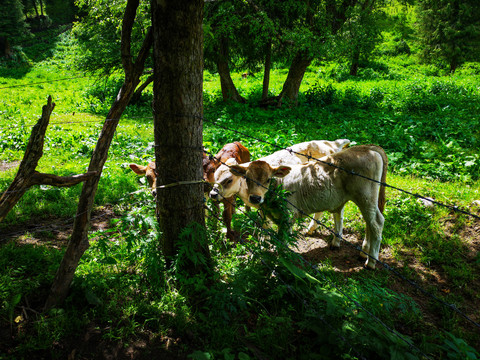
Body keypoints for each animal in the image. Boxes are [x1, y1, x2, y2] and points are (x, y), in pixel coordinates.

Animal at [227, 145, 388, 268]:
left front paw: (280, 260)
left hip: (366, 197)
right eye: (246, 178)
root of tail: (366, 148)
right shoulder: (264, 214)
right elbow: (263, 234)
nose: (255, 197)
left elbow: (282, 241)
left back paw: (371, 262)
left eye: (268, 179)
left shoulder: (288, 216)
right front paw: (261, 252)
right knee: (365, 222)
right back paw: (354, 249)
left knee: (376, 222)